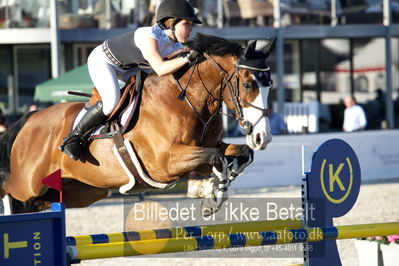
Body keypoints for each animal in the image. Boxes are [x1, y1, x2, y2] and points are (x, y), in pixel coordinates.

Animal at [0, 33, 276, 216]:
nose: (263, 137)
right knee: (9, 190)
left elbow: (239, 154)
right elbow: (217, 157)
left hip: (79, 191)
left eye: (269, 85)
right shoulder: (166, 163)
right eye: (248, 84)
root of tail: (28, 120)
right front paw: (213, 192)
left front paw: (211, 190)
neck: (185, 99)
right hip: (27, 185)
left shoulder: (206, 147)